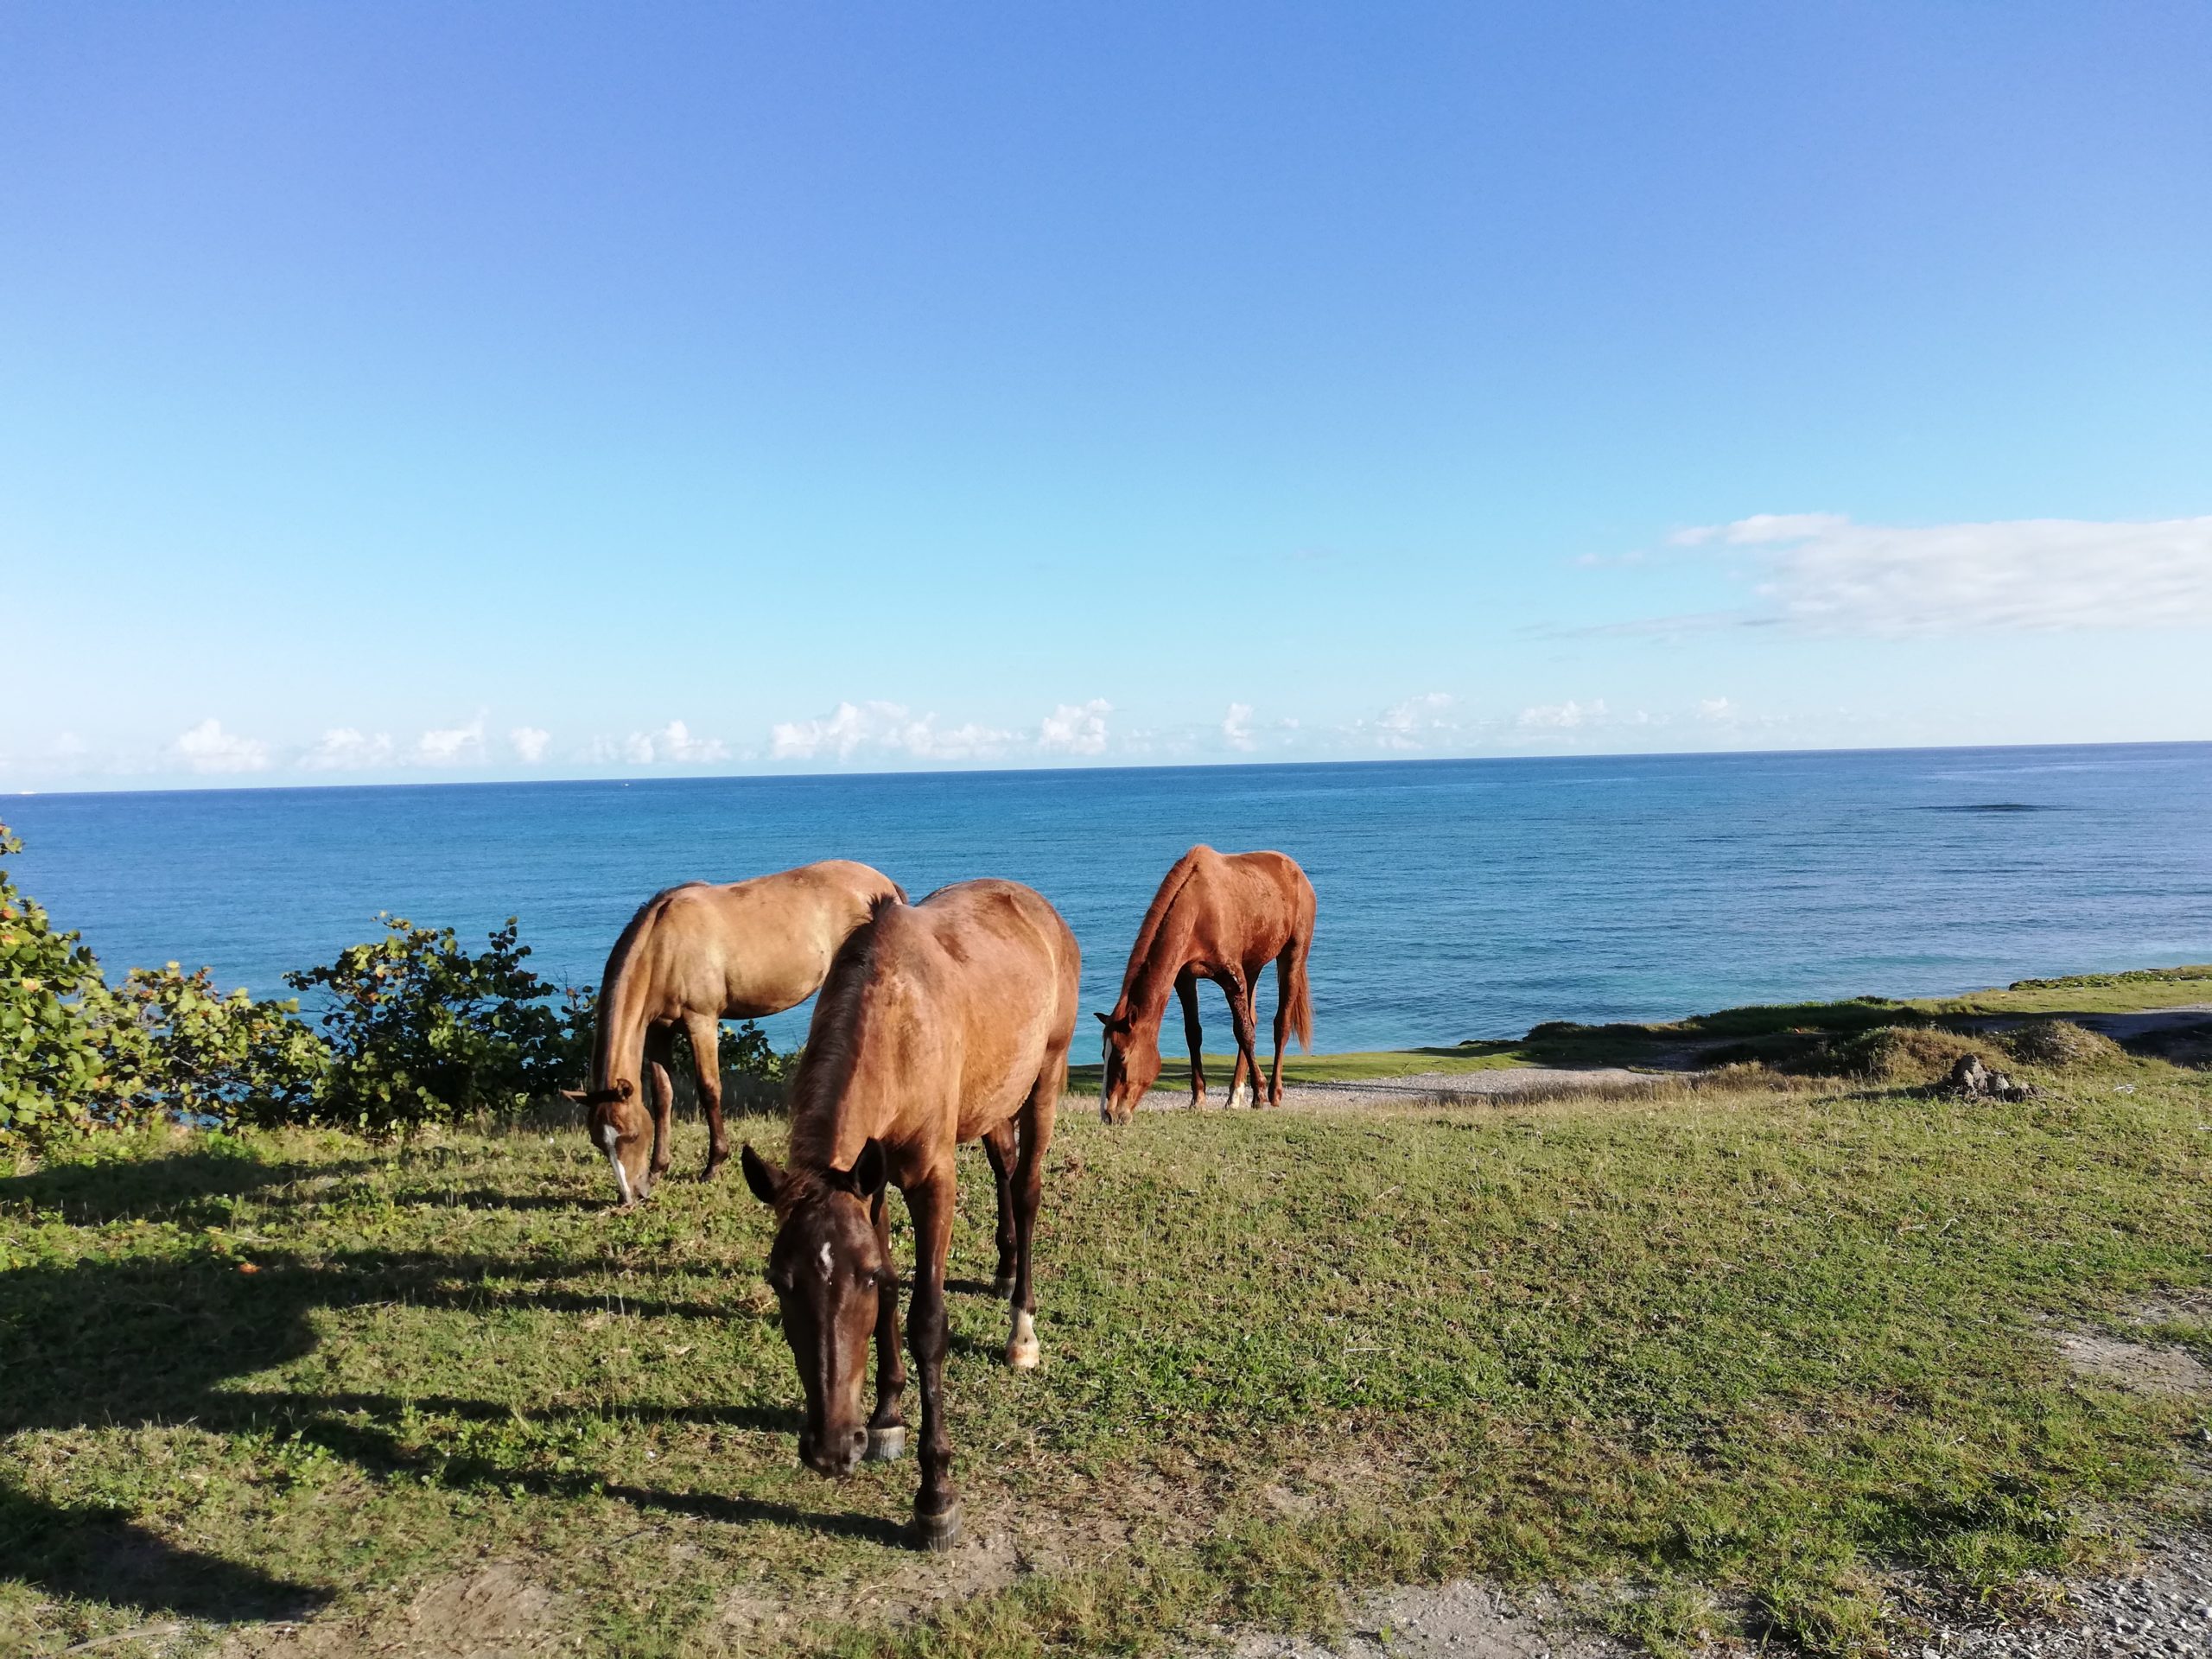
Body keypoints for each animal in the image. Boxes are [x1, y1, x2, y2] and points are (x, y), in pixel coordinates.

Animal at [579, 858, 915, 1211]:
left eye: (630, 1135)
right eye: (599, 1141)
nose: (630, 1196)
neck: (665, 945)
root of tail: (883, 883)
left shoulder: (701, 1020)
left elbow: (709, 1089)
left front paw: (714, 1163)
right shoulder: (659, 1030)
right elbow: (662, 1095)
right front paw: (659, 1167)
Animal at [743, 885, 1079, 1557]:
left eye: (860, 1281)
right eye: (779, 1281)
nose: (830, 1448)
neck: (897, 1020)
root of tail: (1039, 909)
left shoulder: (931, 1182)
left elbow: (927, 1319)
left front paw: (936, 1496)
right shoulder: (869, 1186)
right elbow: (895, 1298)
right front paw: (886, 1418)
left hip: (1046, 1077)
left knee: (1027, 1189)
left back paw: (1021, 1329)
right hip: (991, 1100)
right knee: (1005, 1169)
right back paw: (1004, 1272)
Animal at [1092, 844, 1300, 1132]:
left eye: (1122, 1057)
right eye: (1103, 1054)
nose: (1108, 1114)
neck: (1198, 908)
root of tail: (1293, 868)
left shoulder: (1232, 980)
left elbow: (1243, 1032)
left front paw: (1258, 1094)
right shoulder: (1185, 979)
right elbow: (1194, 1034)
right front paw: (1198, 1098)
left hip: (1293, 952)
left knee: (1280, 1022)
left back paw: (1273, 1092)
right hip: (1253, 966)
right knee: (1253, 1017)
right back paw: (1234, 1096)